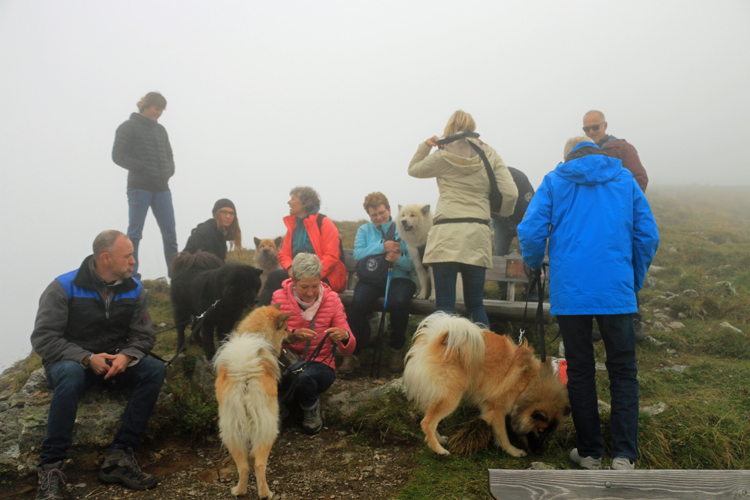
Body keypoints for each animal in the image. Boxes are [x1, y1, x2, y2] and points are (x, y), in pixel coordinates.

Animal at [214, 304, 294, 496]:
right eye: (285, 329)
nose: (293, 335)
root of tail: (244, 372)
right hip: (267, 428)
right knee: (258, 464)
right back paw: (266, 493)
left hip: (231, 430)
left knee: (244, 467)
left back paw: (239, 491)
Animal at [406, 312, 568, 458]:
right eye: (540, 431)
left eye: (548, 433)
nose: (540, 452)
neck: (528, 384)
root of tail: (433, 339)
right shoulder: (497, 409)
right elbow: (502, 434)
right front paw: (513, 451)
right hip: (450, 397)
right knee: (427, 422)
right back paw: (439, 449)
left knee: (430, 419)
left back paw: (439, 440)